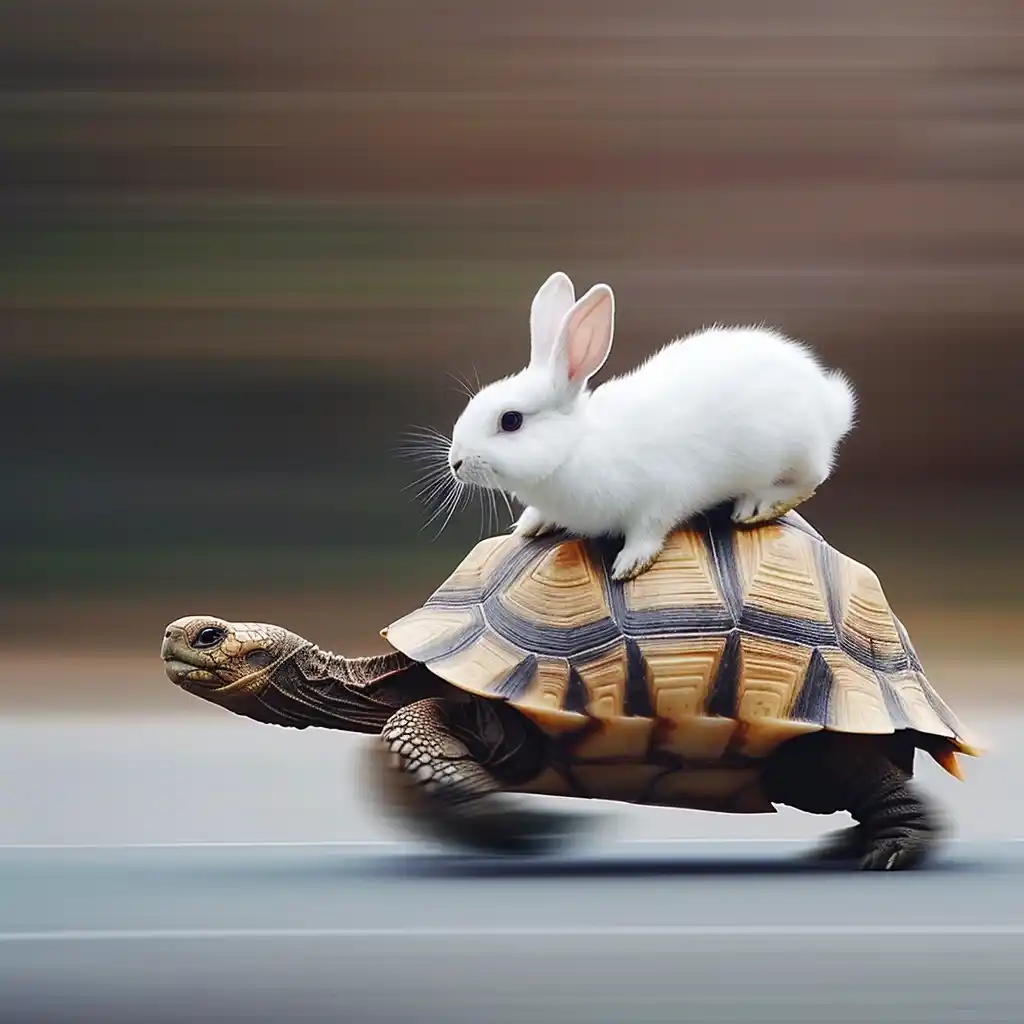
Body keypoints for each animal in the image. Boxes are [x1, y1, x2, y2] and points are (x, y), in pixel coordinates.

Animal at [447, 270, 857, 582]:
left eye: (510, 421)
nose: (456, 463)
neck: (576, 446)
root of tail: (829, 404)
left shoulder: (660, 496)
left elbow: (648, 530)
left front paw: (629, 564)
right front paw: (530, 524)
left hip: (794, 449)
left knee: (812, 478)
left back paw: (757, 505)